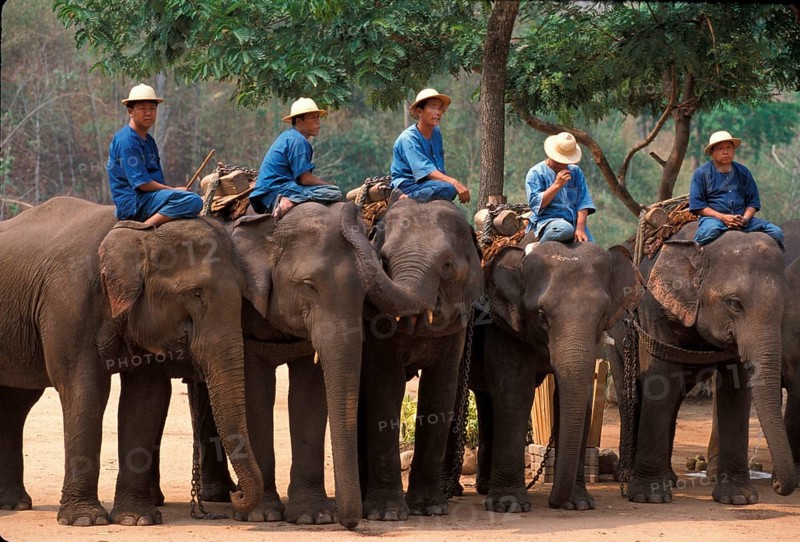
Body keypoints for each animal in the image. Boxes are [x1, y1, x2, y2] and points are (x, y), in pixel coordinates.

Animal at [0, 196, 263, 526]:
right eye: (196, 293)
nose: (235, 495)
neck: (137, 230)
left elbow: (145, 397)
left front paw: (136, 519)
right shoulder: (66, 301)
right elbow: (84, 389)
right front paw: (85, 520)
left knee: (16, 404)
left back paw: (14, 503)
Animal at [179, 201, 427, 529]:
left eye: (365, 295)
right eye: (309, 286)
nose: (350, 522)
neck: (271, 226)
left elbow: (308, 395)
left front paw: (314, 517)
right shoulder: (242, 311)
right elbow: (255, 394)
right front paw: (263, 515)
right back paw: (222, 496)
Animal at [356, 198, 483, 521]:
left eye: (447, 265)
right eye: (384, 259)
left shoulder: (457, 325)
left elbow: (440, 388)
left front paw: (430, 509)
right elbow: (385, 385)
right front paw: (387, 514)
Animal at [448, 236, 642, 512]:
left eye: (603, 314)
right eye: (541, 314)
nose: (553, 502)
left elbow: (577, 400)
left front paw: (579, 504)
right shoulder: (505, 327)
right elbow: (516, 394)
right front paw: (510, 505)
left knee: (486, 401)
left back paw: (484, 487)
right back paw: (454, 490)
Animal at [625, 221, 797, 504]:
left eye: (784, 307)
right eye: (734, 303)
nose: (777, 485)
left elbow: (735, 389)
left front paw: (738, 498)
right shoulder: (653, 306)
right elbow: (660, 378)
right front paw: (649, 497)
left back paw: (669, 479)